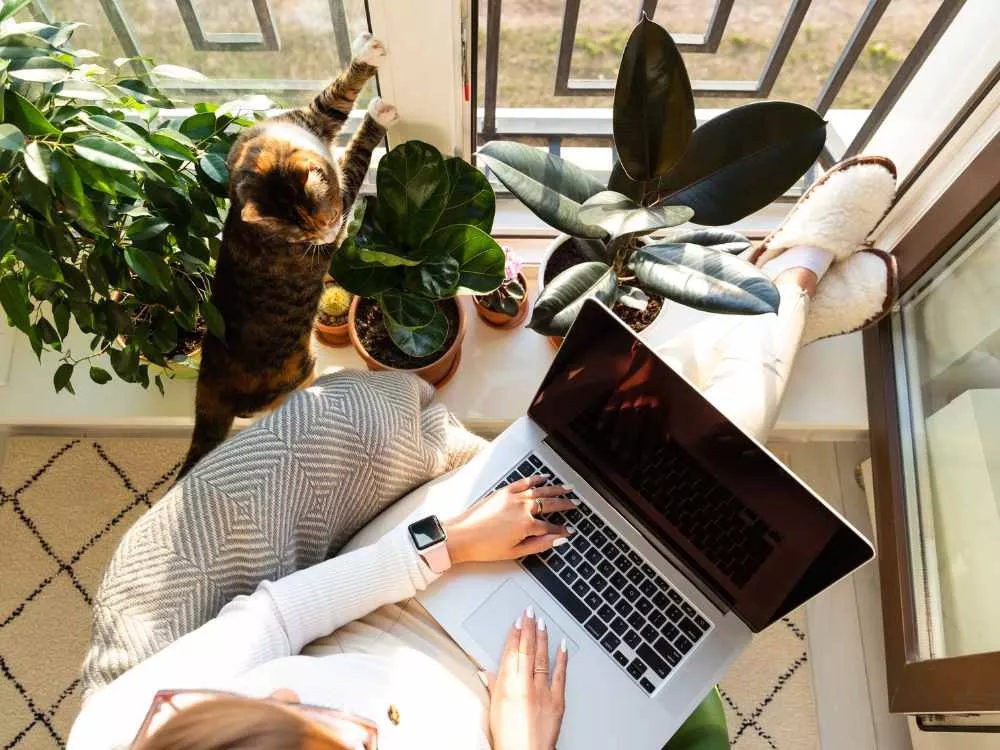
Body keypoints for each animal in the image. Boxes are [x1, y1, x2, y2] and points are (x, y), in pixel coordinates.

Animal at [176, 32, 398, 478]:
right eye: (305, 231)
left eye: (320, 218)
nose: (328, 232)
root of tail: (208, 381)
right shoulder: (344, 195)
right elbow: (356, 156)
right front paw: (378, 116)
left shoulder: (312, 117)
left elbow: (337, 94)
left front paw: (367, 54)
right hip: (296, 368)